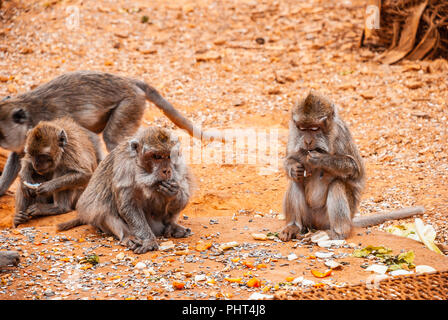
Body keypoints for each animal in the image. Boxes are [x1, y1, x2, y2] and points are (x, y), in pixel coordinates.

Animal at [0, 71, 217, 196]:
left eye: (0, 134)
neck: (30, 115)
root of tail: (129, 82)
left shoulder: (53, 122)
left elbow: (89, 138)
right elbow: (17, 158)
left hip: (130, 104)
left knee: (111, 139)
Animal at [57, 126, 192, 254]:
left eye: (169, 156)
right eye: (157, 156)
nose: (167, 170)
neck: (142, 171)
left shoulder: (180, 165)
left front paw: (172, 192)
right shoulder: (124, 167)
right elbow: (128, 205)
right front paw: (149, 241)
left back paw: (171, 227)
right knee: (102, 206)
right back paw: (128, 236)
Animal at [280, 90, 424, 240]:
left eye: (314, 129)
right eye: (303, 129)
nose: (307, 141)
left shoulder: (341, 133)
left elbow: (355, 168)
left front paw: (318, 158)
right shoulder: (293, 133)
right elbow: (289, 159)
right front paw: (293, 167)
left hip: (332, 217)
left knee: (337, 184)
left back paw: (337, 232)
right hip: (308, 218)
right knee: (296, 182)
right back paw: (294, 226)